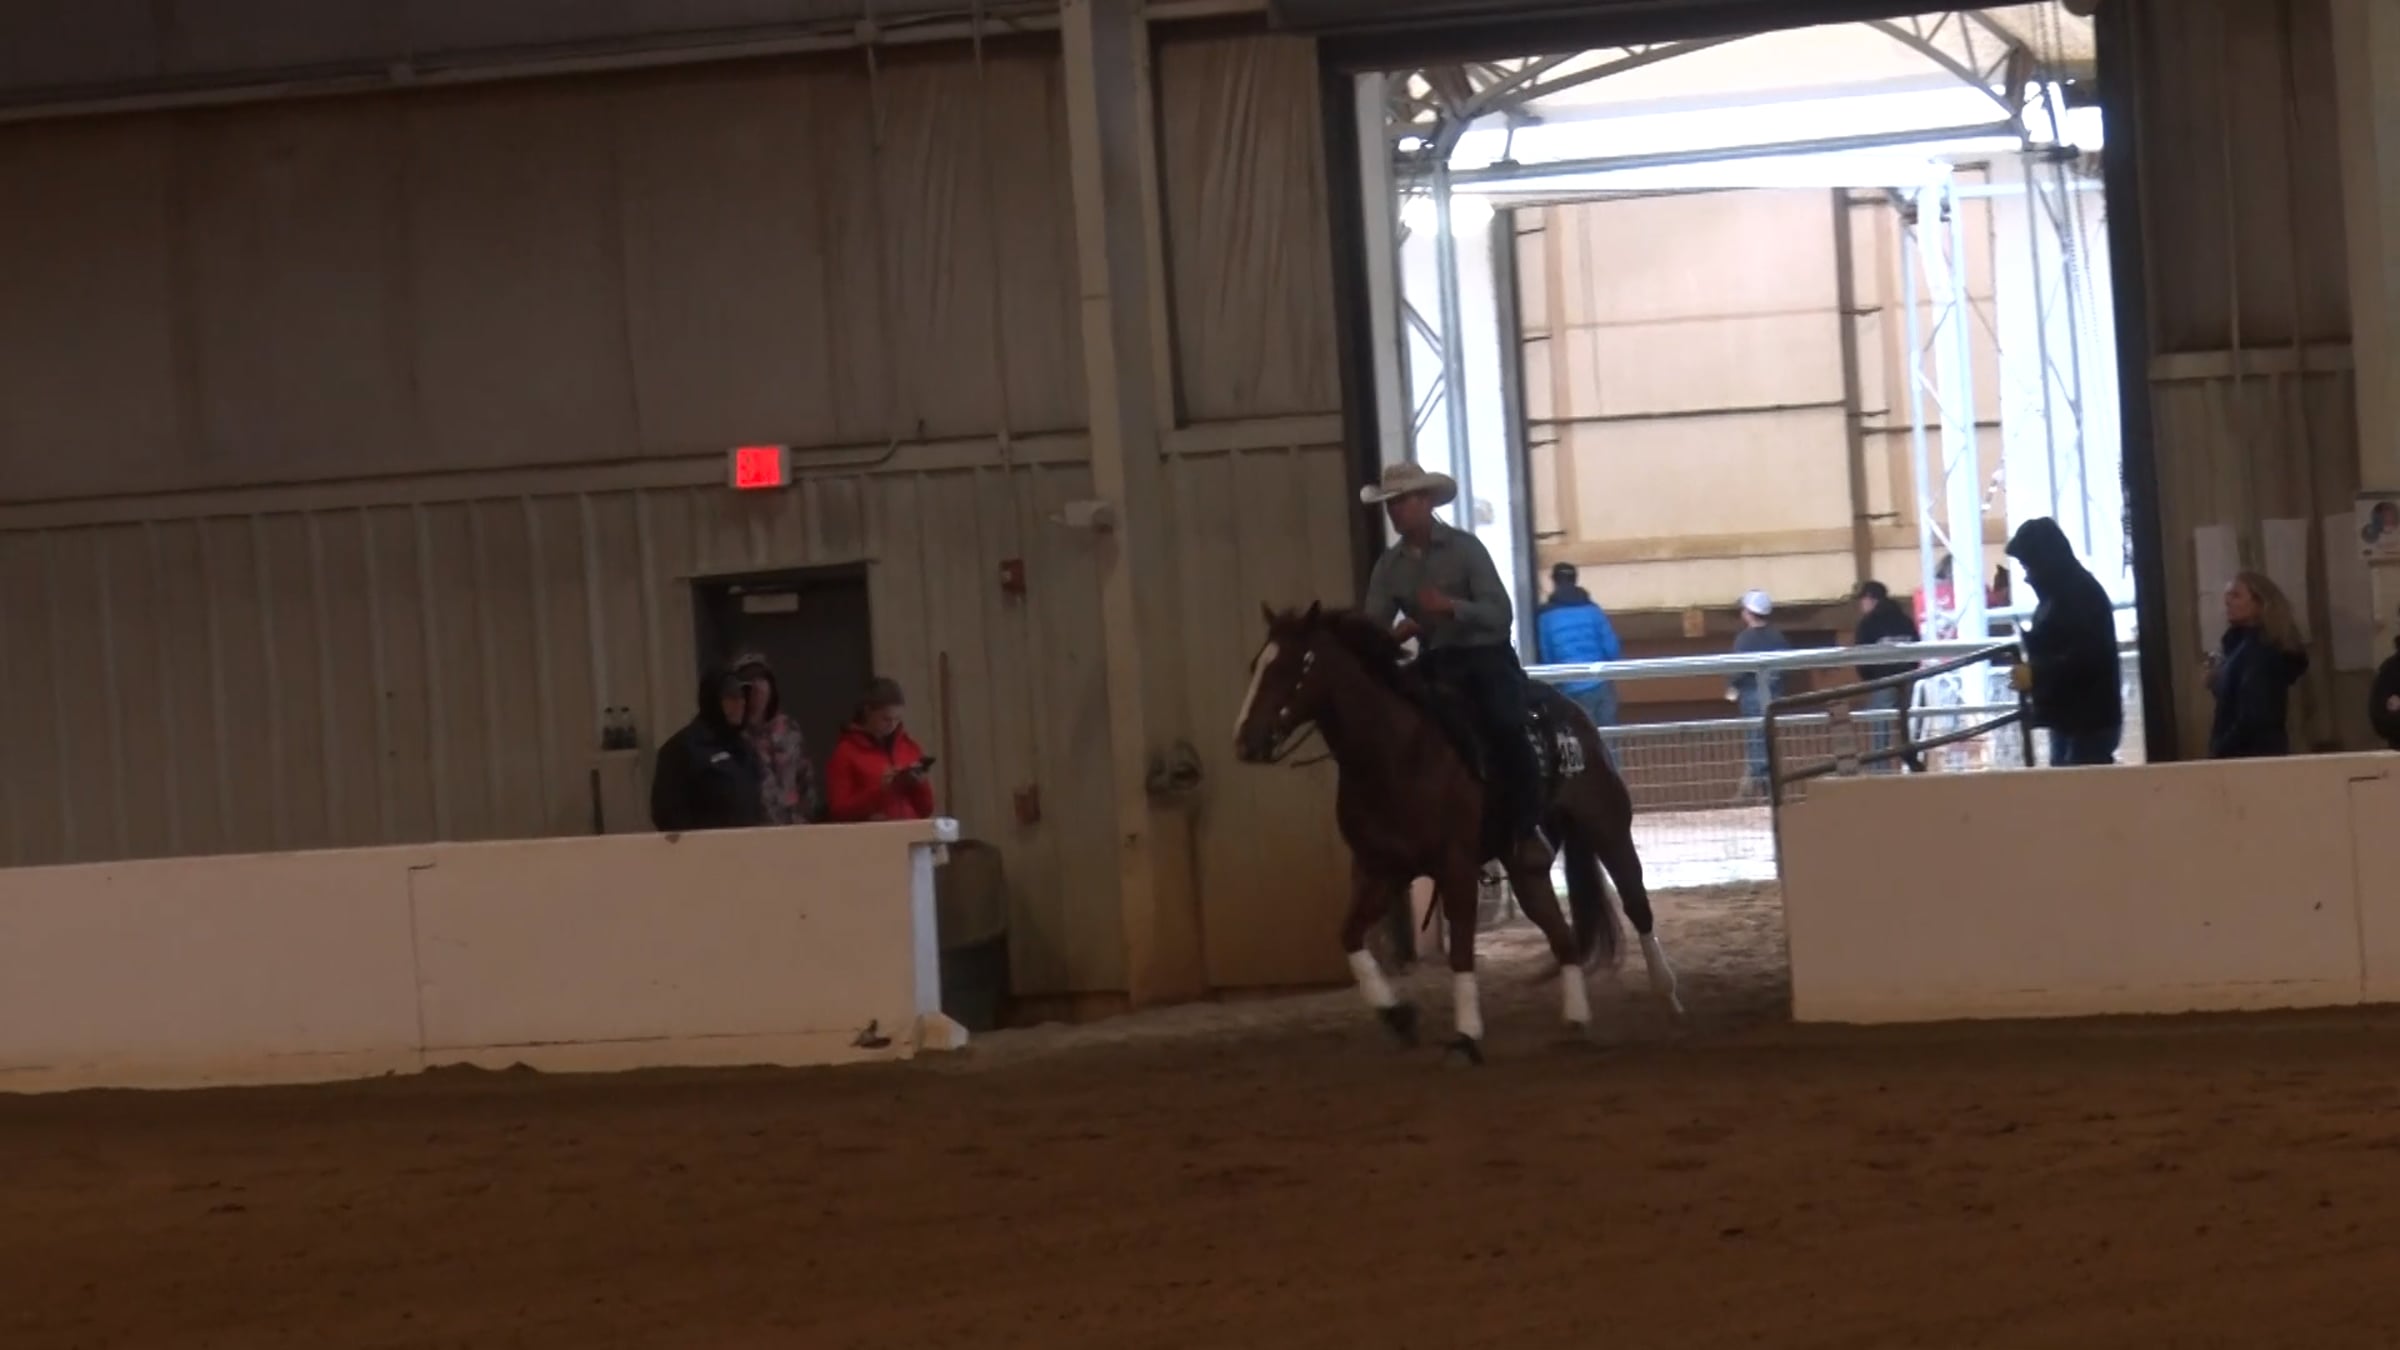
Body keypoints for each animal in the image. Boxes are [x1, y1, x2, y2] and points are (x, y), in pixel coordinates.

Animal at [1231, 603, 1682, 1064]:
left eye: (1293, 666)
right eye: (1256, 665)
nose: (1246, 741)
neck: (1395, 754)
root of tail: (1571, 714)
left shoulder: (1456, 865)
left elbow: (1463, 948)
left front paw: (1466, 1034)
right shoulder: (1379, 869)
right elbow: (1350, 934)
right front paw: (1397, 1015)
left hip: (1607, 827)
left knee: (1636, 904)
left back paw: (1667, 998)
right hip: (1527, 868)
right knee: (1562, 935)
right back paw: (1576, 1019)